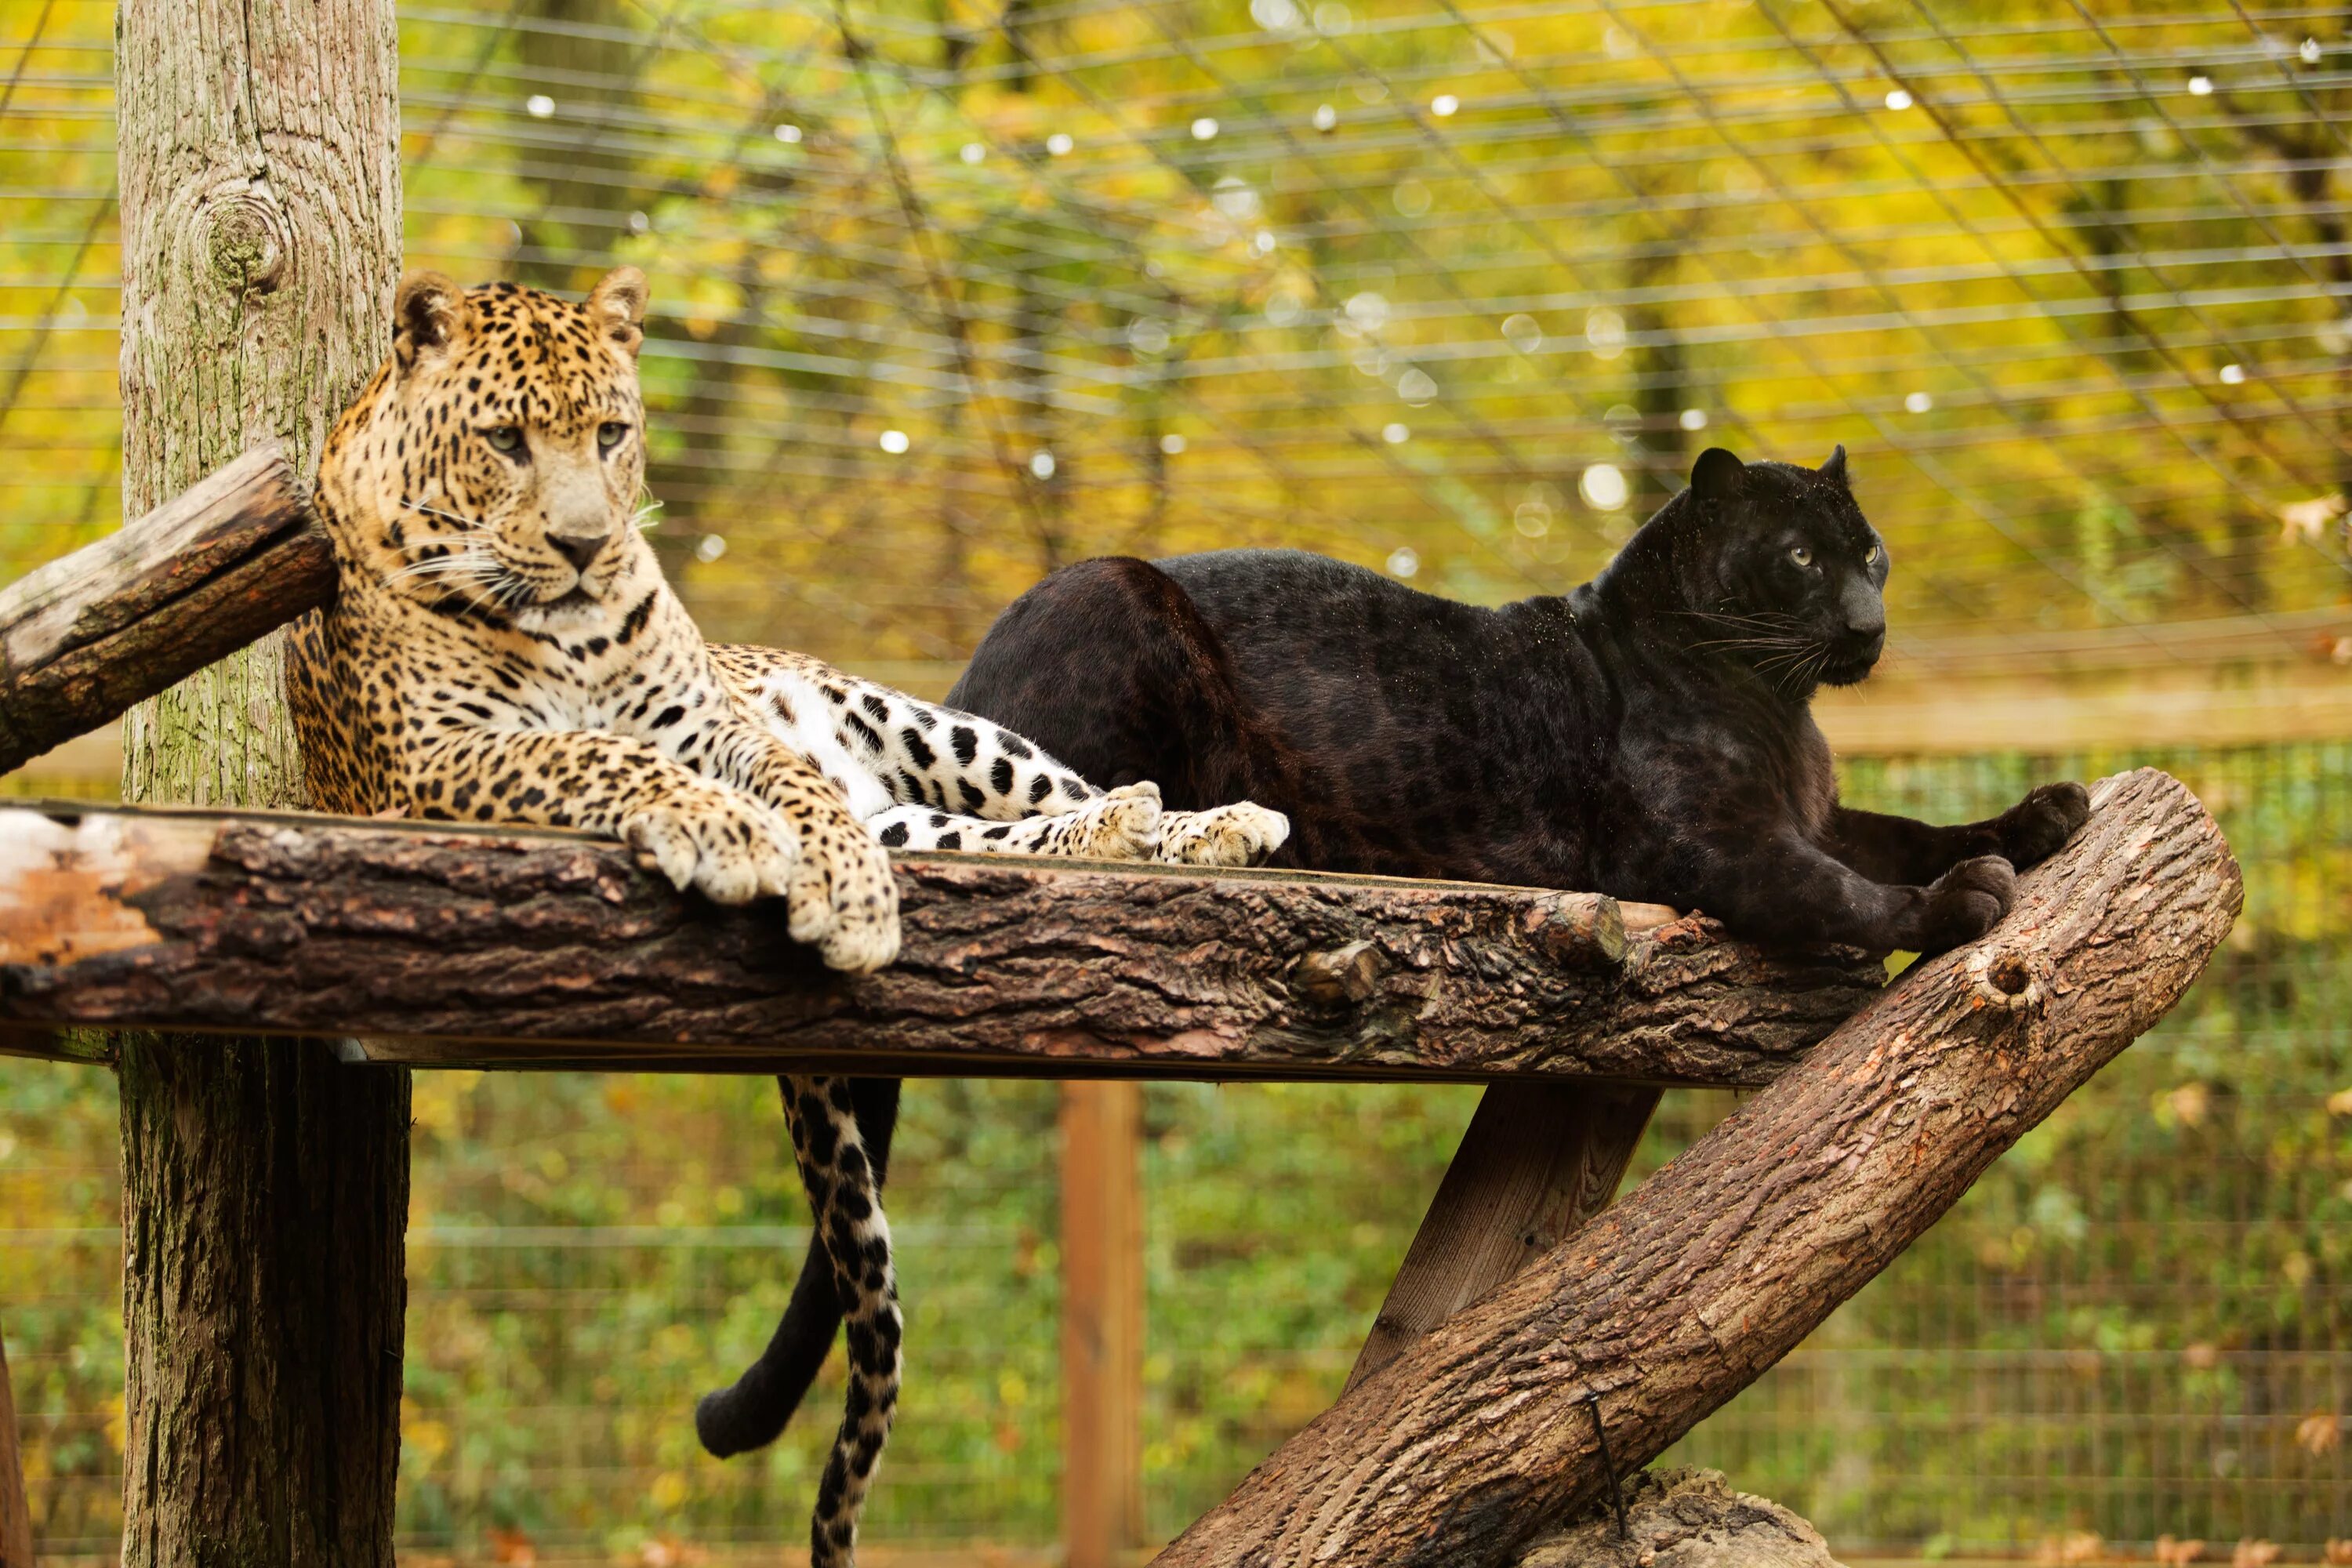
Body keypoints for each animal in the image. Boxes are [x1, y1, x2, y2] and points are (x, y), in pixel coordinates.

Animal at [285, 263, 1298, 1561]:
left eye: (610, 435)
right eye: (506, 443)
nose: (585, 546)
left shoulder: (721, 726)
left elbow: (786, 781)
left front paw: (840, 892)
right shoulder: (434, 764)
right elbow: (592, 754)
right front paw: (724, 833)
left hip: (937, 733)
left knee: (1041, 795)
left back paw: (1202, 825)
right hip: (918, 811)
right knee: (1003, 835)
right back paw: (1125, 833)